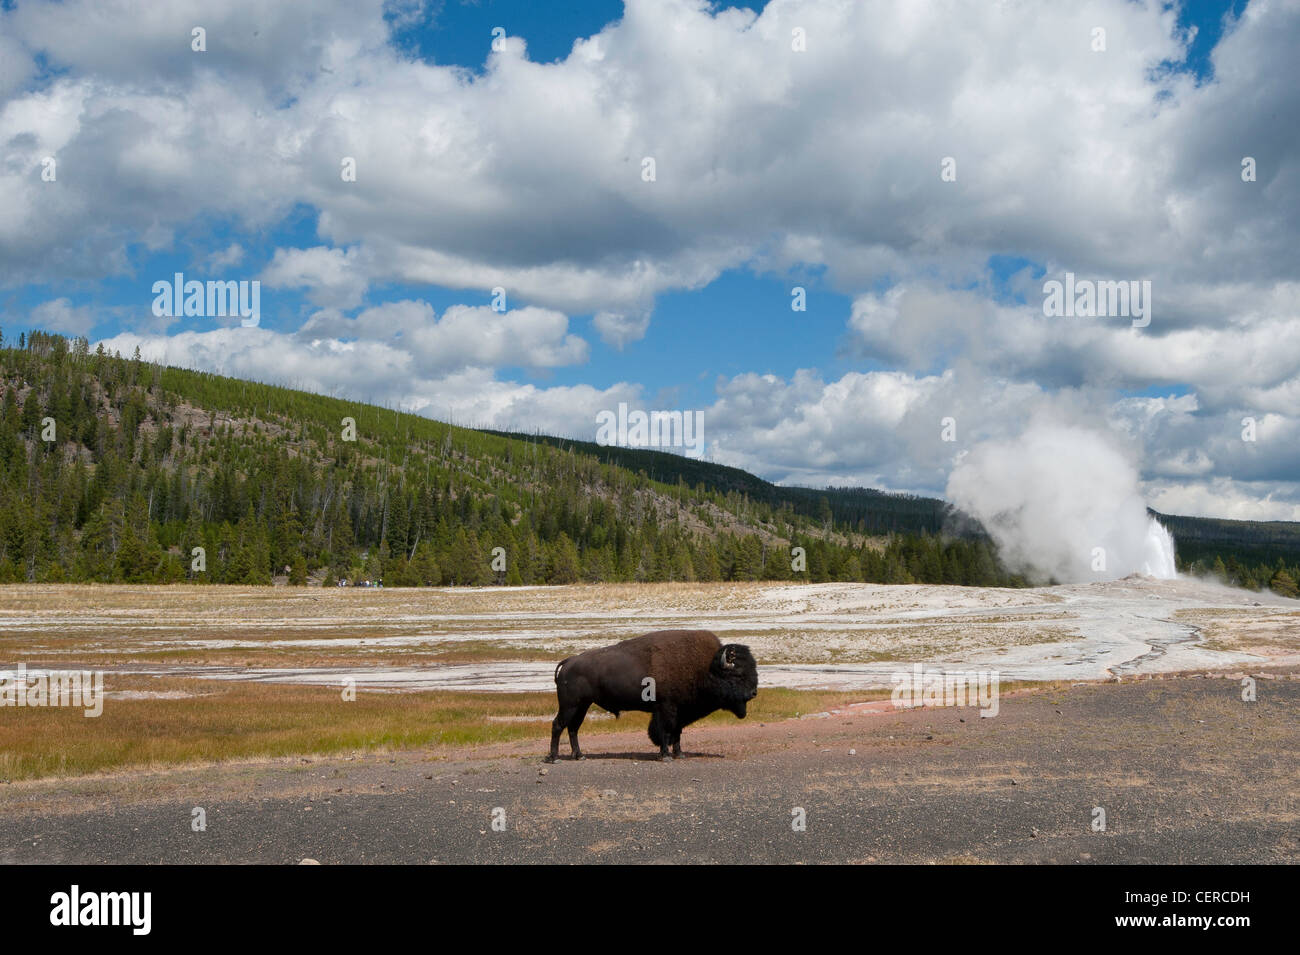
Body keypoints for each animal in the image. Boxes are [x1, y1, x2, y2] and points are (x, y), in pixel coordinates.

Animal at [546, 629, 758, 762]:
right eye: (738, 674)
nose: (753, 692)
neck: (707, 668)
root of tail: (569, 662)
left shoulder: (679, 712)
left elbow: (677, 733)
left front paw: (679, 754)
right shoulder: (666, 709)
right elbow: (666, 731)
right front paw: (665, 755)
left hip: (582, 705)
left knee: (573, 729)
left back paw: (579, 755)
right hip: (570, 705)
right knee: (558, 725)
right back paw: (554, 758)